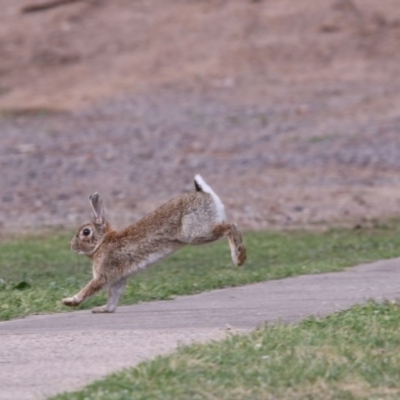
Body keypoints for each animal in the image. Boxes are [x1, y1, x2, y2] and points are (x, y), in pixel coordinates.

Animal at [62, 174, 245, 312]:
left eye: (85, 232)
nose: (70, 246)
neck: (102, 242)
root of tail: (203, 193)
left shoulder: (103, 275)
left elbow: (90, 288)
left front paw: (69, 301)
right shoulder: (118, 278)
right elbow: (113, 297)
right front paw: (103, 310)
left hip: (196, 233)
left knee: (231, 227)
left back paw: (239, 257)